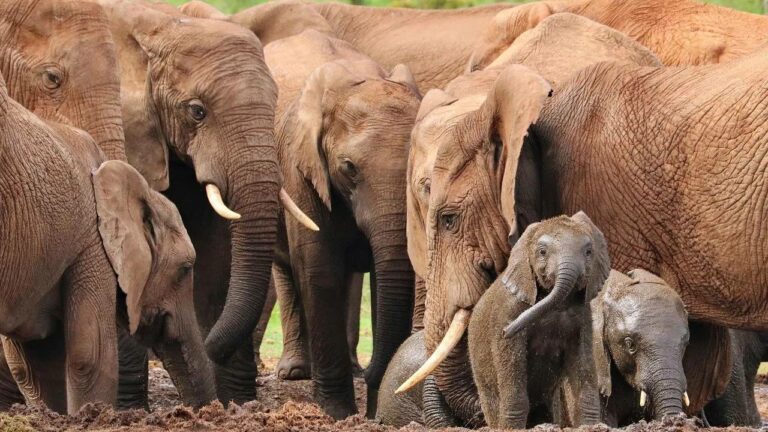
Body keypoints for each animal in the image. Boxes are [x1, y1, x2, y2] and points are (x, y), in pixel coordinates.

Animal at [262, 29, 421, 419]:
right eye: (349, 168)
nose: (373, 373)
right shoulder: (299, 169)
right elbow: (319, 270)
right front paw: (337, 412)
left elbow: (385, 277)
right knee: (287, 270)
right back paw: (295, 372)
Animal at [468, 212, 609, 428]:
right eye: (542, 252)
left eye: (588, 252)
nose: (506, 330)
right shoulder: (508, 311)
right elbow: (513, 369)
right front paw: (512, 428)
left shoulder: (584, 319)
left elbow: (583, 366)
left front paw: (590, 426)